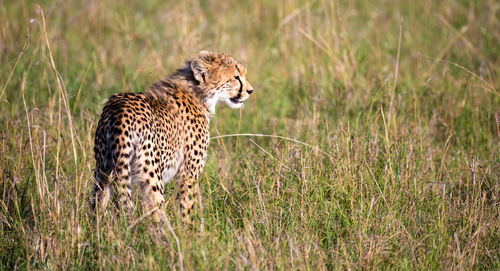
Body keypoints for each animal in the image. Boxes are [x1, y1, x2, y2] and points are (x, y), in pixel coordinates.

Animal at [93, 51, 254, 225]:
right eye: (236, 77)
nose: (250, 91)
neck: (198, 93)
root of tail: (120, 110)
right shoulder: (188, 172)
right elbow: (186, 205)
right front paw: (187, 230)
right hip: (151, 176)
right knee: (156, 214)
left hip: (103, 171)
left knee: (97, 204)